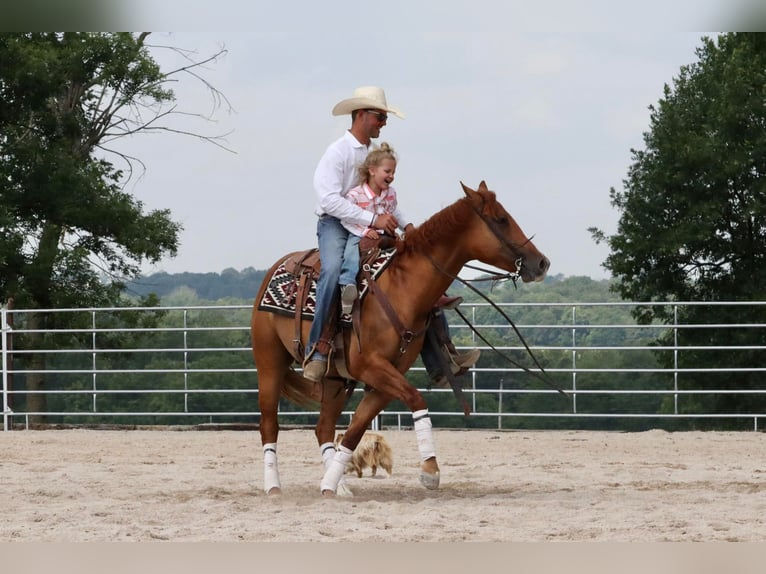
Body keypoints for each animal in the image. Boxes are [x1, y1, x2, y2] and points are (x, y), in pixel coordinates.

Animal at [249, 182, 548, 498]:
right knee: (269, 425)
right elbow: (416, 399)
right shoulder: (372, 367)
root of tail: (276, 268)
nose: (542, 263)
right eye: (501, 219)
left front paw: (330, 484)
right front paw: (430, 470)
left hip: (334, 380)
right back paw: (273, 486)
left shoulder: (386, 376)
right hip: (269, 363)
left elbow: (355, 431)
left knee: (323, 428)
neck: (402, 289)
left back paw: (338, 487)